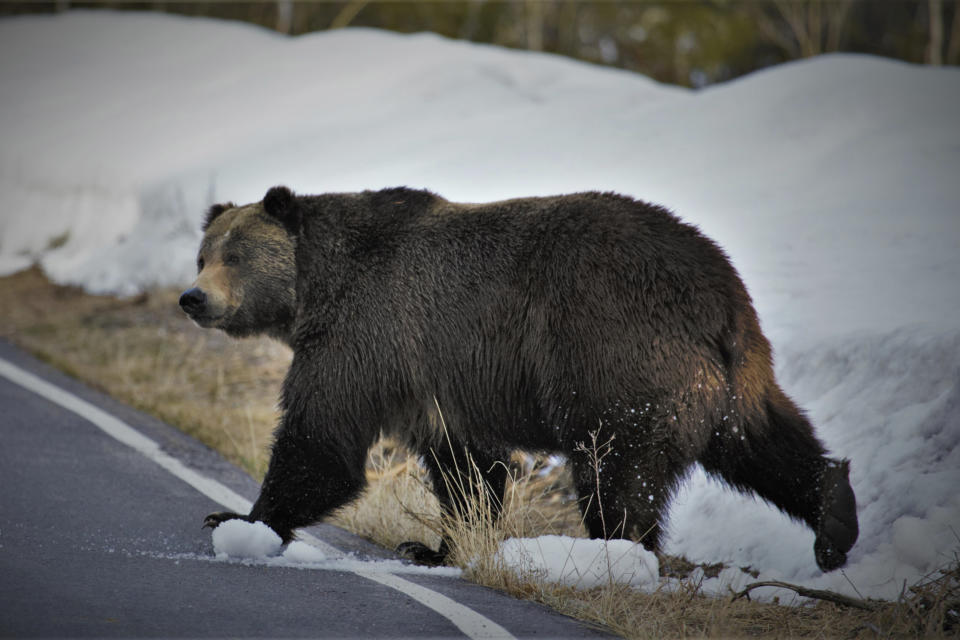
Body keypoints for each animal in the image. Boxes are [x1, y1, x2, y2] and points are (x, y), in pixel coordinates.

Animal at [184, 184, 860, 568]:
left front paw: (239, 520)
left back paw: (616, 554)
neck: (315, 290)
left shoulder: (367, 336)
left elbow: (322, 439)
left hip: (615, 357)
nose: (193, 297)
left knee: (617, 473)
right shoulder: (439, 381)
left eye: (235, 256)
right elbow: (467, 469)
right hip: (733, 377)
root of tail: (721, 291)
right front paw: (433, 547)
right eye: (202, 254)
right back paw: (836, 518)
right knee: (764, 441)